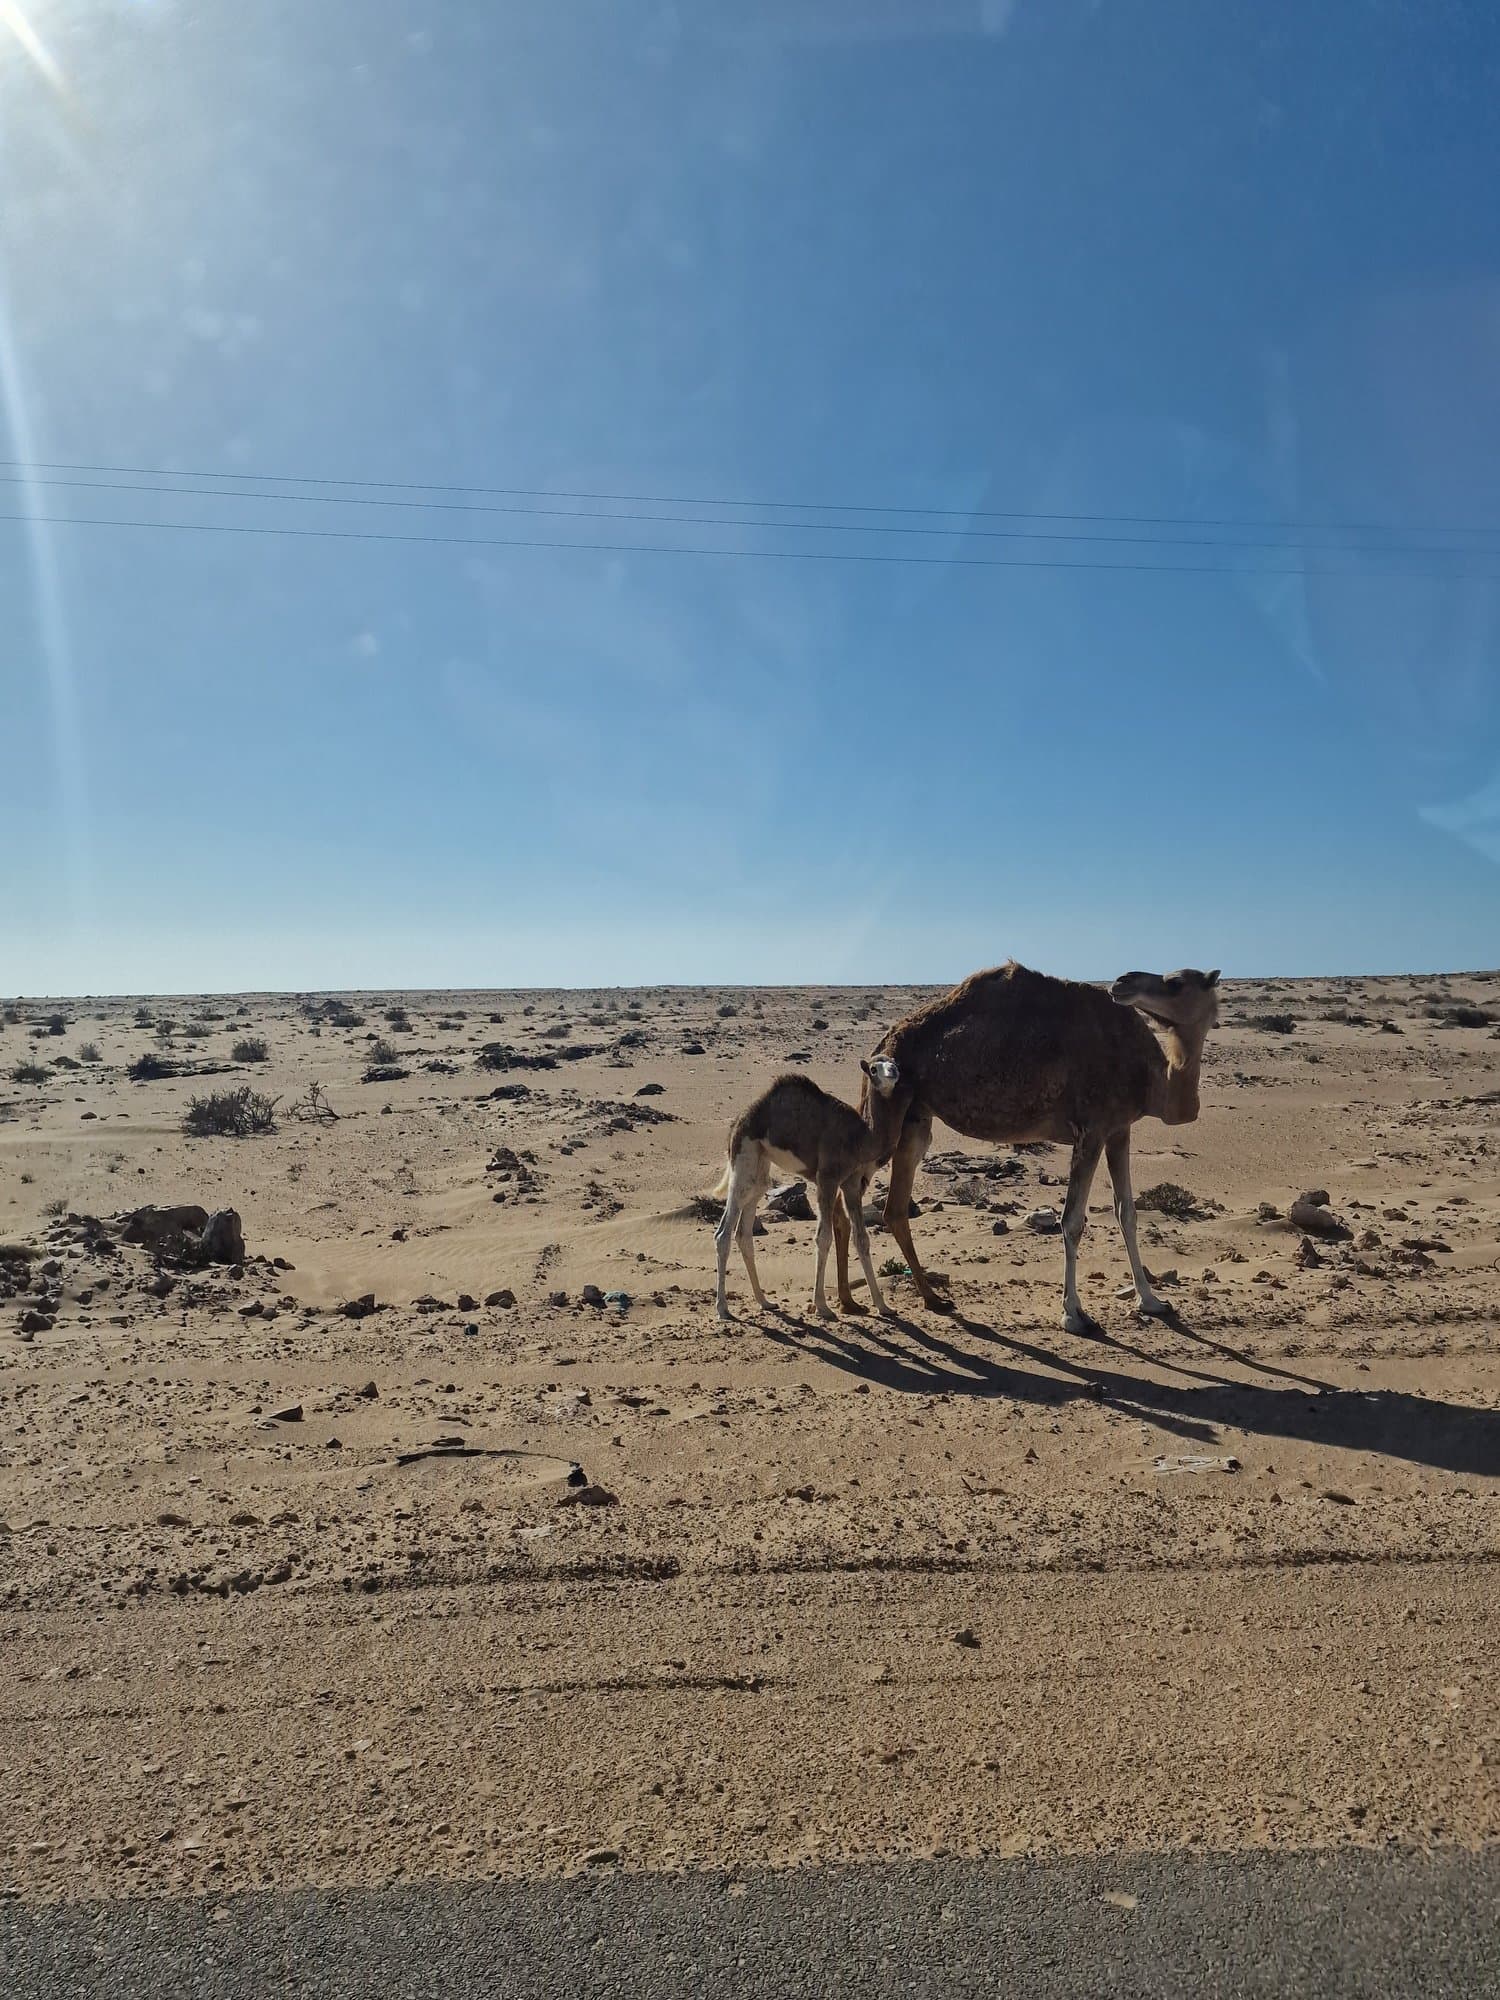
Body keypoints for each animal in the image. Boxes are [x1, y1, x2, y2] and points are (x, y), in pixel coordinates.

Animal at [713, 1057, 906, 1322]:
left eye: (893, 1062)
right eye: (874, 1069)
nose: (894, 1072)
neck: (860, 1137)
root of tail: (736, 1122)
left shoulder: (851, 1183)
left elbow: (862, 1239)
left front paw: (883, 1306)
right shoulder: (827, 1178)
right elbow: (823, 1238)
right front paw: (822, 1307)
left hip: (760, 1166)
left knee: (744, 1232)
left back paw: (765, 1302)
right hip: (744, 1154)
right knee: (723, 1233)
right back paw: (723, 1308)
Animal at [853, 962, 1221, 1333]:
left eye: (1176, 983)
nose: (1122, 981)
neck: (1150, 1079)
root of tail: (881, 1043)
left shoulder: (1119, 1130)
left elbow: (1126, 1214)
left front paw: (1151, 1301)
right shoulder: (1091, 1128)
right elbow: (1072, 1221)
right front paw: (1073, 1314)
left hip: (918, 1115)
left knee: (893, 1209)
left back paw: (930, 1299)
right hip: (890, 1104)